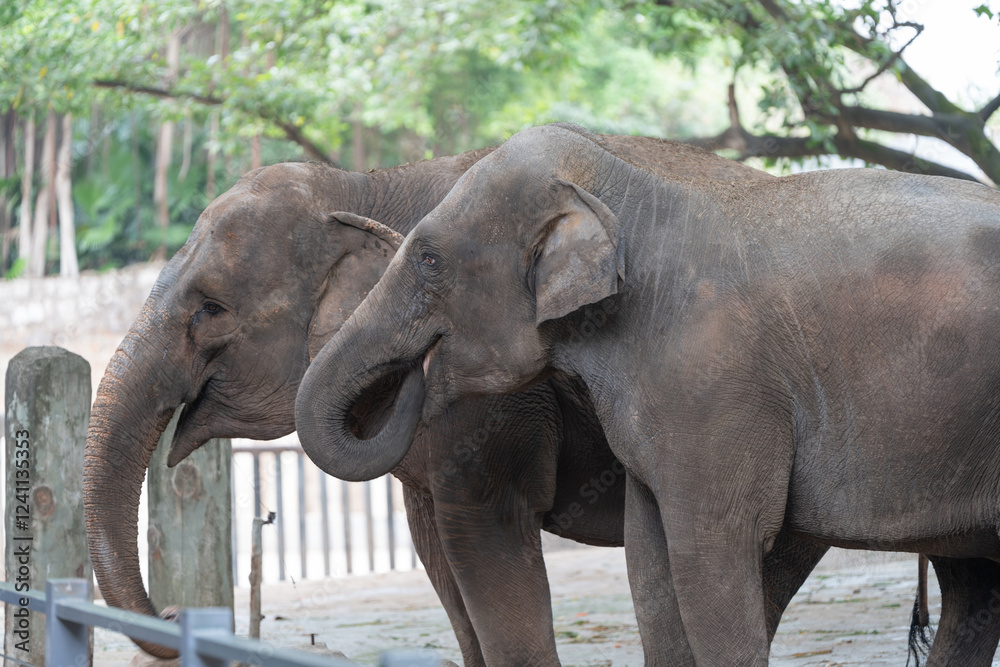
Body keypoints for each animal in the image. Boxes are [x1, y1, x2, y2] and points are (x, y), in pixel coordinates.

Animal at [295, 122, 1000, 666]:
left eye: (429, 260)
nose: (418, 365)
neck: (626, 195)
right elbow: (650, 562)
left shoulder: (714, 381)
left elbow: (708, 554)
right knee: (973, 587)